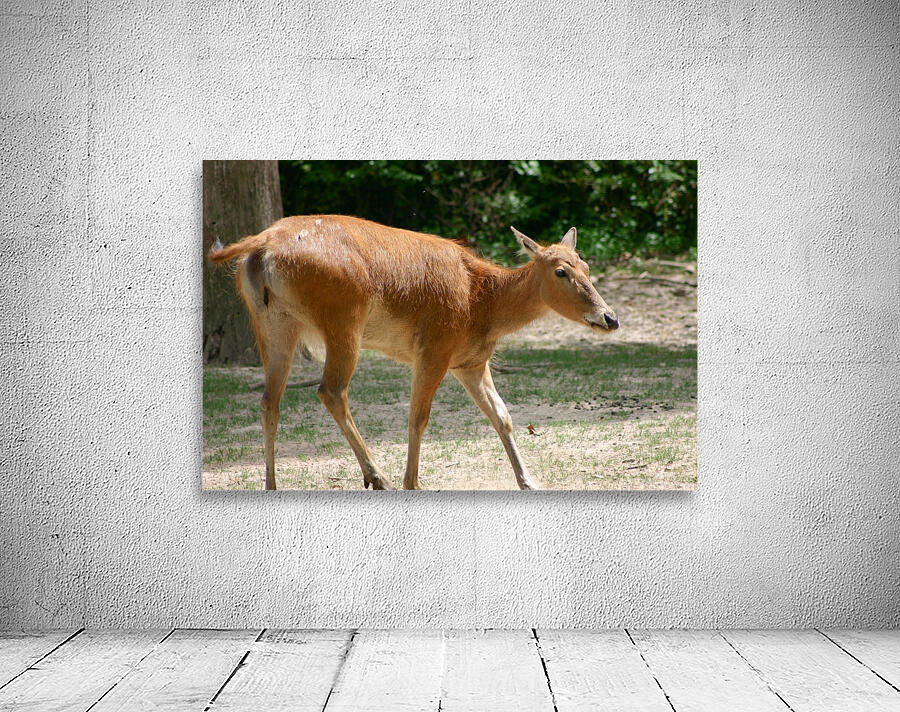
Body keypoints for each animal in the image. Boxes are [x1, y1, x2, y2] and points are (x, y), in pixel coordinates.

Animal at [208, 215, 618, 491]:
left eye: (586, 265)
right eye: (561, 271)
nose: (609, 318)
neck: (483, 306)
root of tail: (260, 246)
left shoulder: (470, 362)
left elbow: (502, 416)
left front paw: (528, 482)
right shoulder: (435, 347)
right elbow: (418, 418)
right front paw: (413, 482)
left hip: (273, 323)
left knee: (269, 399)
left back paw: (272, 484)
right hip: (342, 320)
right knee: (330, 390)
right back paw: (378, 477)